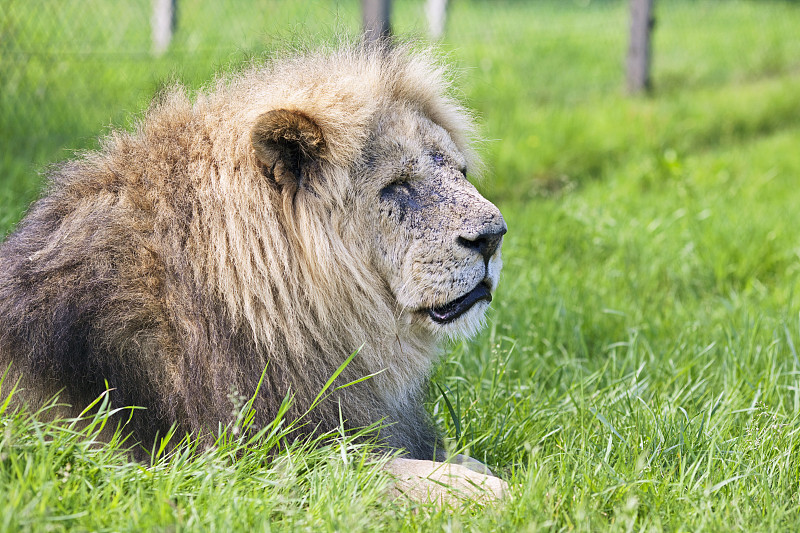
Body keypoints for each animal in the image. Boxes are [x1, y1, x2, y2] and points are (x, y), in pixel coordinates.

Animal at [1, 42, 506, 502]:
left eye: (461, 172)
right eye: (397, 186)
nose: (494, 235)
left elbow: (465, 458)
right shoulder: (252, 463)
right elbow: (405, 475)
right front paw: (499, 494)